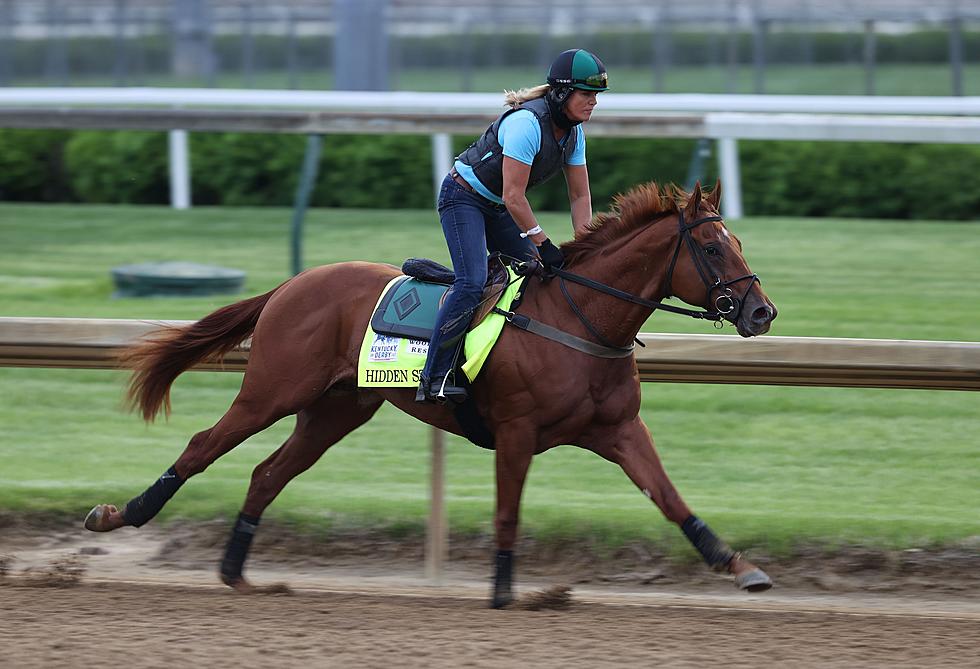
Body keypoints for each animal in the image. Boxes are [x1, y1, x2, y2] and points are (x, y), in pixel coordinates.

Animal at [84, 181, 772, 604]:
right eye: (711, 247)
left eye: (739, 241)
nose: (762, 312)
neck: (581, 321)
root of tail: (292, 283)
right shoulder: (517, 432)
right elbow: (507, 511)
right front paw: (503, 593)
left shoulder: (620, 431)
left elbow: (671, 499)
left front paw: (740, 567)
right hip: (272, 390)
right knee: (204, 445)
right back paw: (120, 515)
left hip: (335, 410)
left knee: (267, 473)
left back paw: (237, 573)